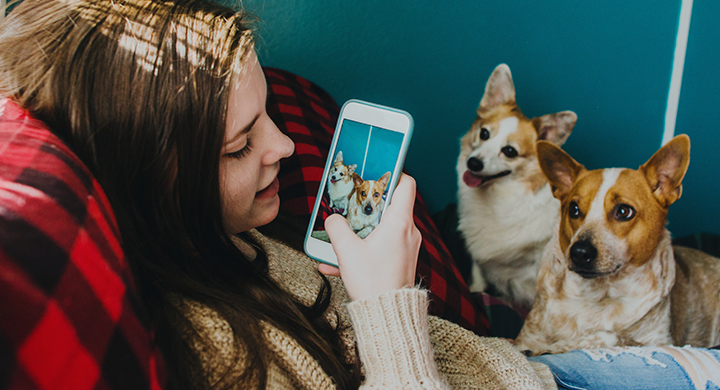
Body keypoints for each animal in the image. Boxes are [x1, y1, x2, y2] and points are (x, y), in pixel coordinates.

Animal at [458, 64, 576, 310]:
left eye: (510, 151)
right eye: (484, 133)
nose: (473, 163)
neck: (498, 197)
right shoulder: (478, 259)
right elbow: (477, 281)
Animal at [516, 135, 720, 356]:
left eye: (624, 211)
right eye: (574, 209)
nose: (579, 252)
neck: (597, 296)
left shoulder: (661, 342)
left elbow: (607, 335)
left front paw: (558, 347)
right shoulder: (526, 337)